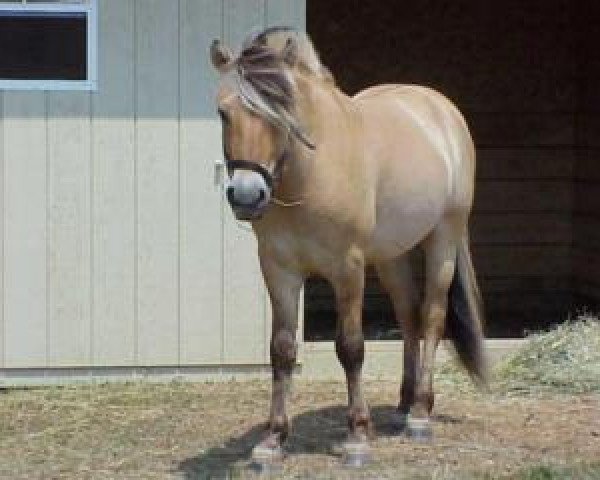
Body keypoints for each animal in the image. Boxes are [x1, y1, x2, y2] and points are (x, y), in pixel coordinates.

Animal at [209, 26, 486, 464]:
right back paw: (404, 404)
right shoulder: (279, 269)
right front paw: (273, 440)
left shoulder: (348, 268)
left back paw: (420, 414)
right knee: (408, 316)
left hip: (443, 238)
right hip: (392, 255)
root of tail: (440, 109)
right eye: (223, 112)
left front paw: (357, 436)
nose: (248, 196)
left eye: (280, 112)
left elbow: (351, 347)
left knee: (431, 317)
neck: (310, 174)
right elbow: (281, 350)